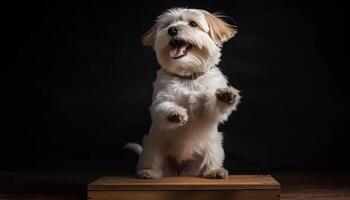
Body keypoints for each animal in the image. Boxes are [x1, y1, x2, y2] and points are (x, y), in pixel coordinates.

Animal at [126, 7, 241, 180]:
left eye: (193, 24)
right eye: (167, 25)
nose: (172, 30)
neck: (187, 77)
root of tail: (180, 170)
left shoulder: (208, 110)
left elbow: (214, 108)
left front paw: (226, 95)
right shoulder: (161, 100)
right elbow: (163, 107)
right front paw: (175, 113)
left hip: (215, 147)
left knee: (210, 161)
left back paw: (214, 170)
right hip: (151, 146)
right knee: (153, 161)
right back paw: (149, 172)